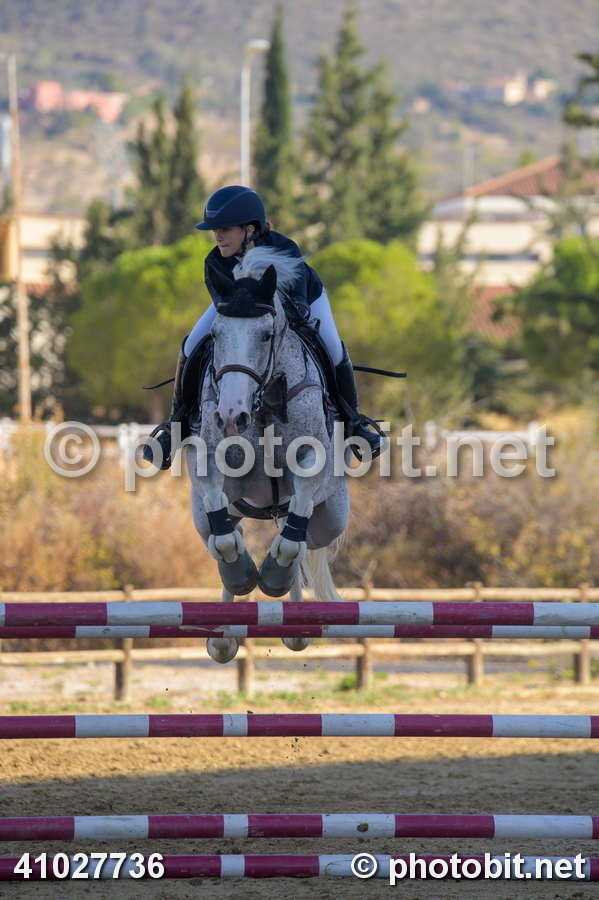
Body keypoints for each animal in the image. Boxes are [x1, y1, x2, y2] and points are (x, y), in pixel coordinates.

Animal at [185, 247, 349, 664]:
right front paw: (243, 575)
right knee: (221, 533)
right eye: (215, 334)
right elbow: (223, 533)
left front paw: (274, 575)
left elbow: (294, 532)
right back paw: (224, 635)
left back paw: (293, 620)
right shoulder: (211, 463)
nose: (231, 415)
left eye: (265, 334)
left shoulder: (312, 461)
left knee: (303, 538)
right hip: (201, 515)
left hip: (332, 518)